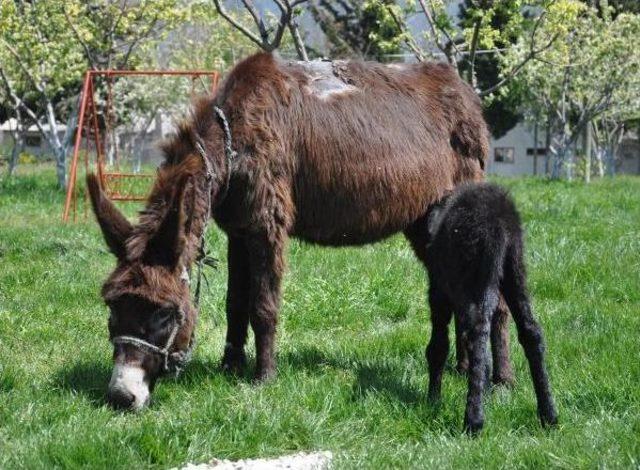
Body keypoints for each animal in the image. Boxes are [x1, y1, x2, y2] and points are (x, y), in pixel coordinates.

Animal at [424, 184, 556, 434]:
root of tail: (500, 223)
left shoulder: (439, 291)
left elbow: (439, 345)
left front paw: (433, 399)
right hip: (514, 268)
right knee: (530, 331)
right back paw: (549, 415)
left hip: (476, 273)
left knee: (478, 329)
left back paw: (473, 419)